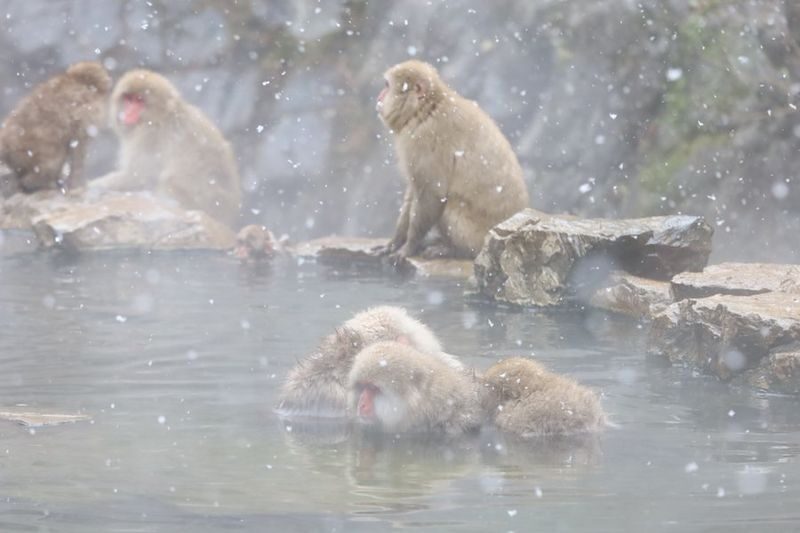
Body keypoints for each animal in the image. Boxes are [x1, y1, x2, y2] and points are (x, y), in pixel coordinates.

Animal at [0, 61, 111, 193]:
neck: (80, 81)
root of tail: (5, 147)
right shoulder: (84, 118)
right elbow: (78, 149)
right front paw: (77, 184)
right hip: (31, 152)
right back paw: (40, 182)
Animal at [90, 69, 241, 227]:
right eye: (128, 98)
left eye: (139, 100)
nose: (127, 113)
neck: (163, 116)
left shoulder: (149, 137)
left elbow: (137, 176)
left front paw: (93, 186)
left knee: (169, 180)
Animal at [375, 60, 529, 260]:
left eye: (387, 86)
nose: (379, 96)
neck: (426, 110)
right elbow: (414, 191)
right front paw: (395, 242)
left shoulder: (425, 140)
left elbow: (433, 192)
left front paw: (409, 247)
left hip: (479, 237)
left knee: (451, 204)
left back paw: (454, 250)